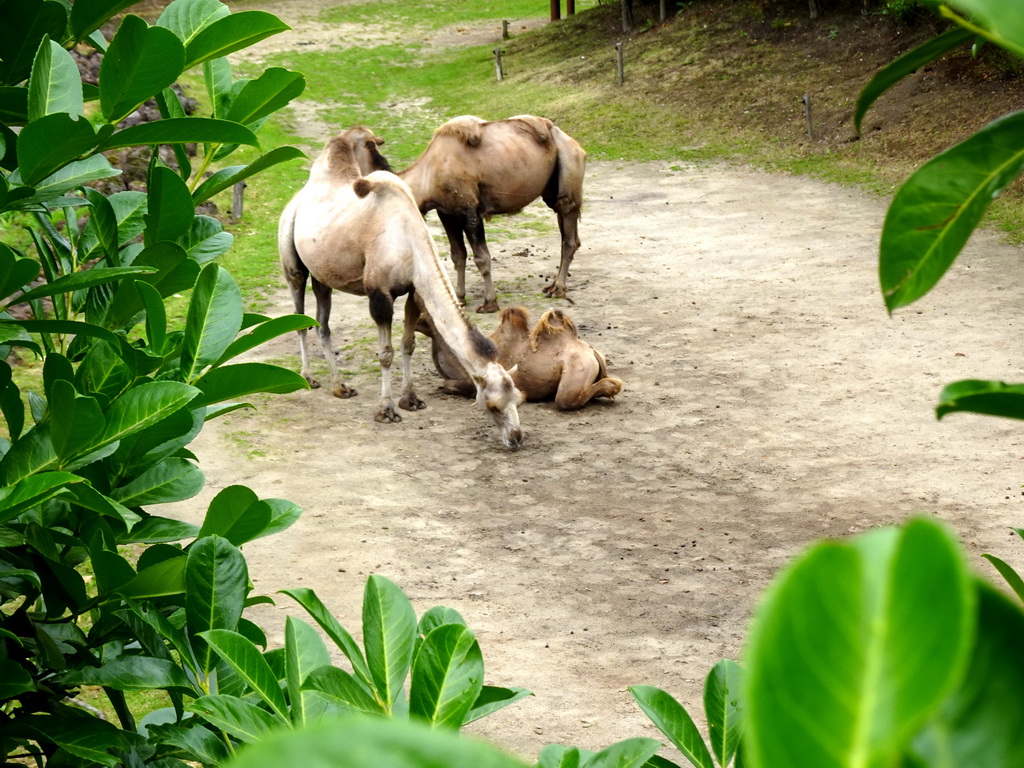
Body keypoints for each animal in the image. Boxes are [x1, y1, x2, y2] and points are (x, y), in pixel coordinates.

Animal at [276, 126, 524, 450]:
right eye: (492, 405)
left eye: (518, 399)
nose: (517, 439)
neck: (409, 240)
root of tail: (297, 199)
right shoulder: (379, 292)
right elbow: (385, 353)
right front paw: (386, 409)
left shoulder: (413, 291)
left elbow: (408, 344)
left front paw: (411, 399)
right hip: (292, 261)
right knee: (299, 316)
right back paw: (308, 378)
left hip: (323, 274)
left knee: (322, 324)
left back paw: (341, 386)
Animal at [393, 114, 585, 313]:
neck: (430, 173)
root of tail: (575, 144)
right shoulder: (447, 212)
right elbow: (458, 255)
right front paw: (459, 298)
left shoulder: (469, 210)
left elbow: (482, 258)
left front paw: (489, 303)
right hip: (551, 191)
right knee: (569, 234)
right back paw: (552, 286)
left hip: (569, 176)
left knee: (568, 234)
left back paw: (559, 289)